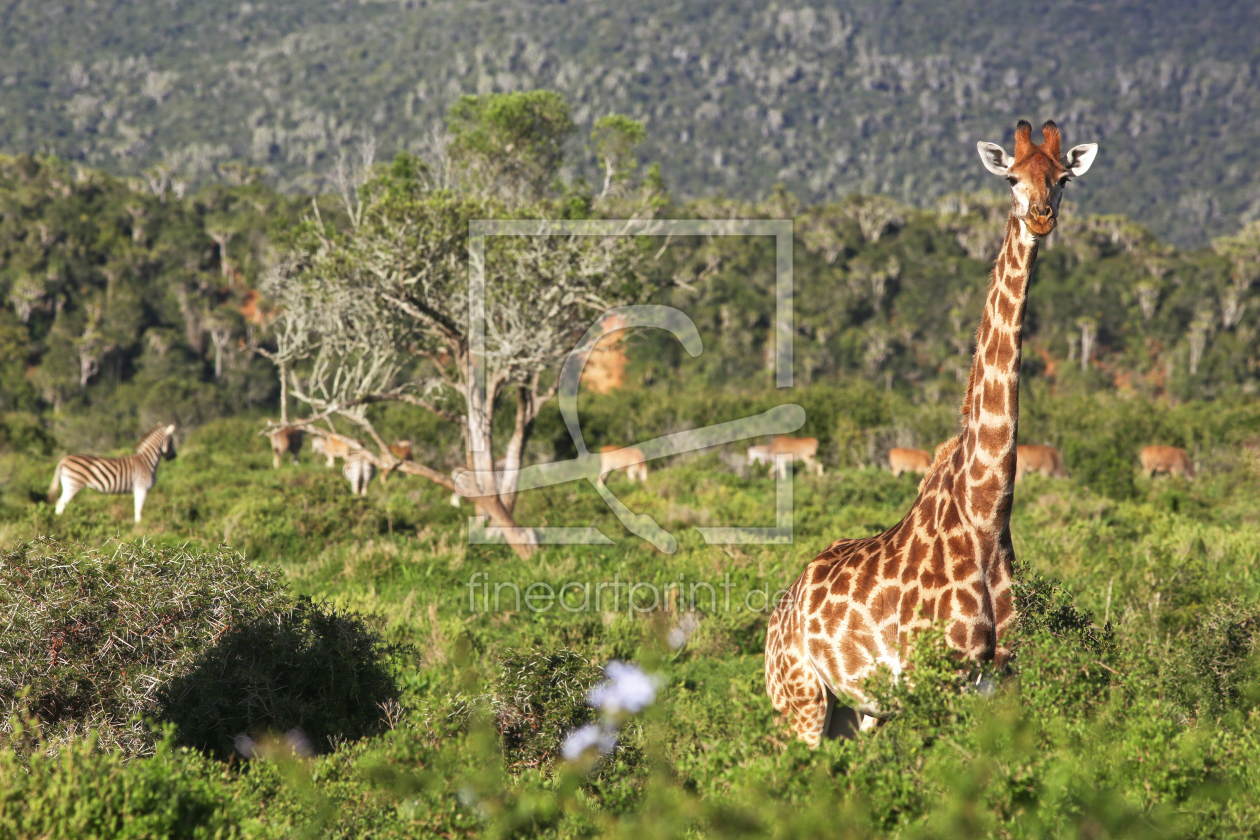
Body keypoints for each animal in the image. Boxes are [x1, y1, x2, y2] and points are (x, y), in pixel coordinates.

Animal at [48, 423, 176, 521]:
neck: (146, 461)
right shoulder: (141, 487)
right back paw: (60, 520)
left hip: (68, 484)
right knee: (61, 503)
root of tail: (64, 459)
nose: (174, 457)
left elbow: (136, 508)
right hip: (72, 484)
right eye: (172, 441)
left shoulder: (138, 489)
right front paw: (139, 527)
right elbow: (138, 509)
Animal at [761, 119, 1098, 740]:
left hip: (857, 712)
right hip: (799, 704)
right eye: (1012, 178)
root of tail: (779, 609)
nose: (1041, 216)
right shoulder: (933, 681)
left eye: (1062, 178)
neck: (987, 518)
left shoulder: (997, 685)